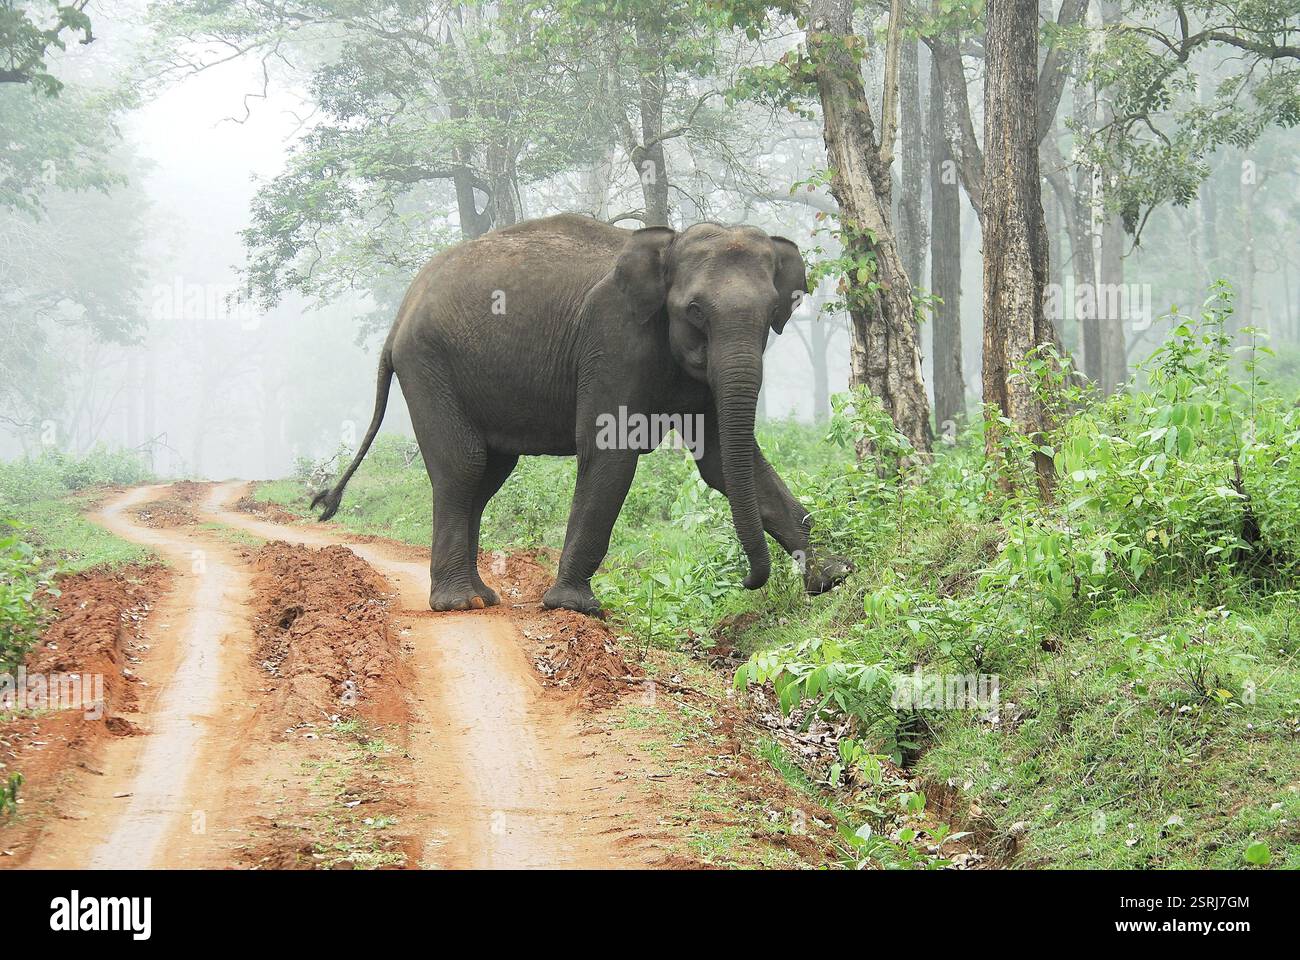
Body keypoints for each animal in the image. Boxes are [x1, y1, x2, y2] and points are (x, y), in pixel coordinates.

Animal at [312, 213, 853, 614]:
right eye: (695, 311)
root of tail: (398, 319)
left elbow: (720, 463)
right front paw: (574, 606)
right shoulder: (612, 339)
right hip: (428, 367)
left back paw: (482, 596)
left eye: (770, 314)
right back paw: (460, 603)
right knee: (463, 468)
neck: (666, 244)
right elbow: (612, 450)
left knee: (486, 478)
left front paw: (833, 576)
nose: (747, 581)